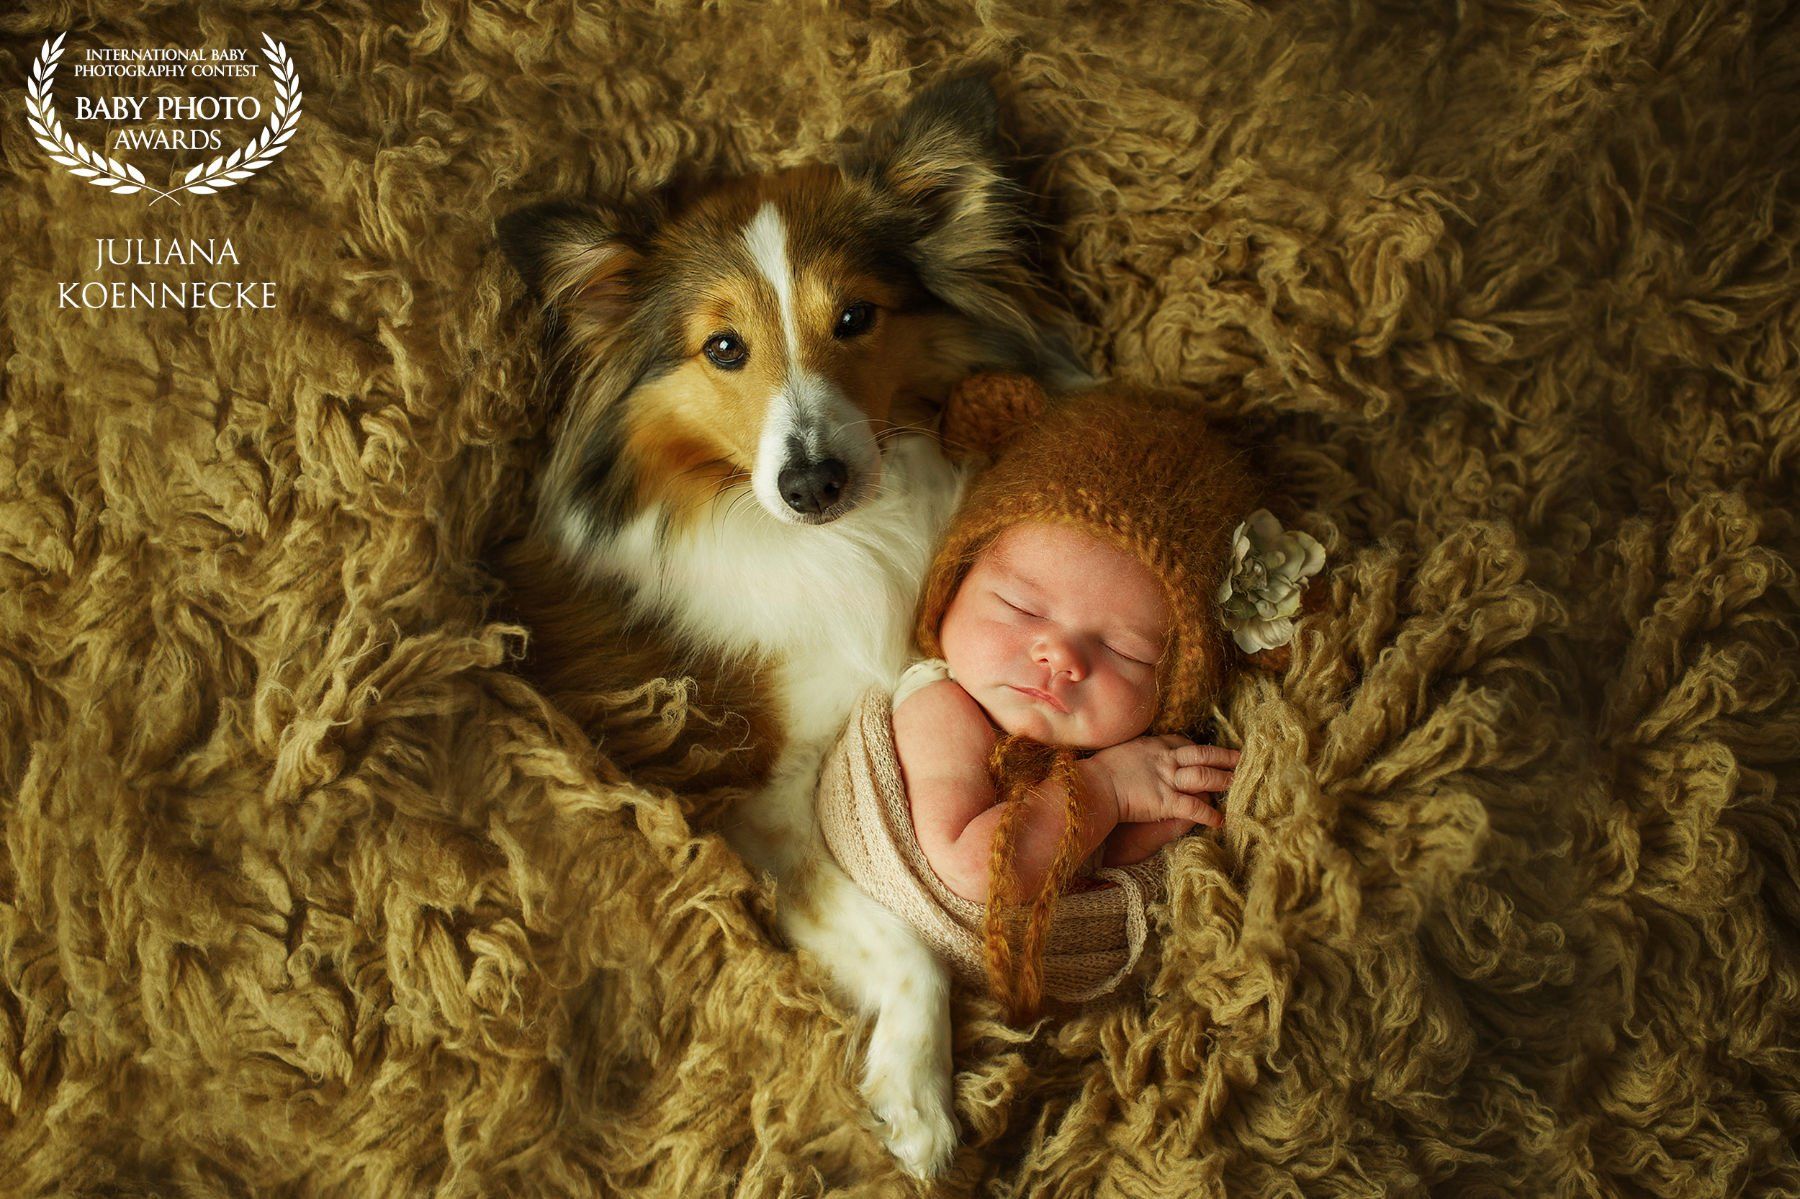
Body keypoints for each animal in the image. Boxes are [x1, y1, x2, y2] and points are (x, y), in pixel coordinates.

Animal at [493, 76, 1080, 1173]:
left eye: (855, 317)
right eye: (724, 347)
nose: (812, 482)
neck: (839, 541)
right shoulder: (758, 802)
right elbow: (902, 940)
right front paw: (918, 1095)